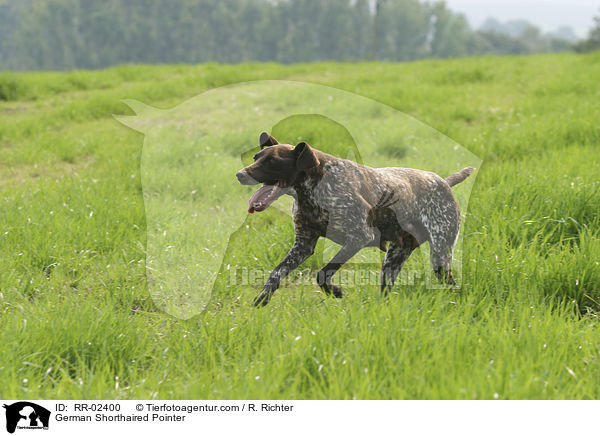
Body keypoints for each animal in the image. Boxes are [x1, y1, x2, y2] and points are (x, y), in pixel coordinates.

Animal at [236, 131, 474, 304]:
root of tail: (444, 182)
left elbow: (322, 274)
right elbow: (276, 273)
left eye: (273, 161)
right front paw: (262, 298)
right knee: (386, 292)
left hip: (440, 255)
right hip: (393, 258)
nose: (239, 174)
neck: (312, 191)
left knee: (450, 283)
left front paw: (335, 292)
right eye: (256, 158)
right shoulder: (303, 245)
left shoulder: (358, 237)